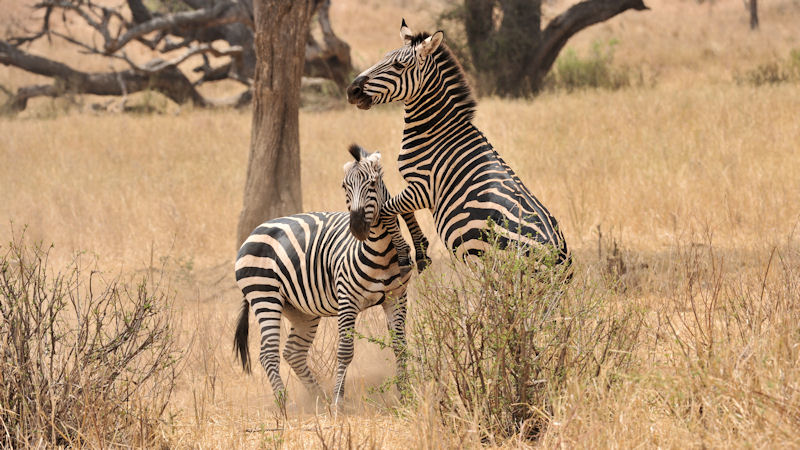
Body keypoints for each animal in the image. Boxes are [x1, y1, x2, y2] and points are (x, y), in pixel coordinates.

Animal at [233, 144, 427, 408]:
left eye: (372, 184)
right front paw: (338, 402)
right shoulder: (347, 299)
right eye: (344, 186)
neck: (382, 252)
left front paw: (405, 395)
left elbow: (400, 346)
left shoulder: (396, 297)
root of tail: (255, 231)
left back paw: (319, 399)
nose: (357, 227)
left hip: (300, 310)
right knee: (268, 353)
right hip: (264, 295)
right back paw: (284, 405)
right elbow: (345, 350)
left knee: (293, 352)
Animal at [346, 19, 571, 271]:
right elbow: (397, 210)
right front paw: (420, 249)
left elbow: (387, 210)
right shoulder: (417, 191)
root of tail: (559, 258)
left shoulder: (423, 187)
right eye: (384, 58)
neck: (436, 130)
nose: (352, 91)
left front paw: (408, 254)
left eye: (398, 65)